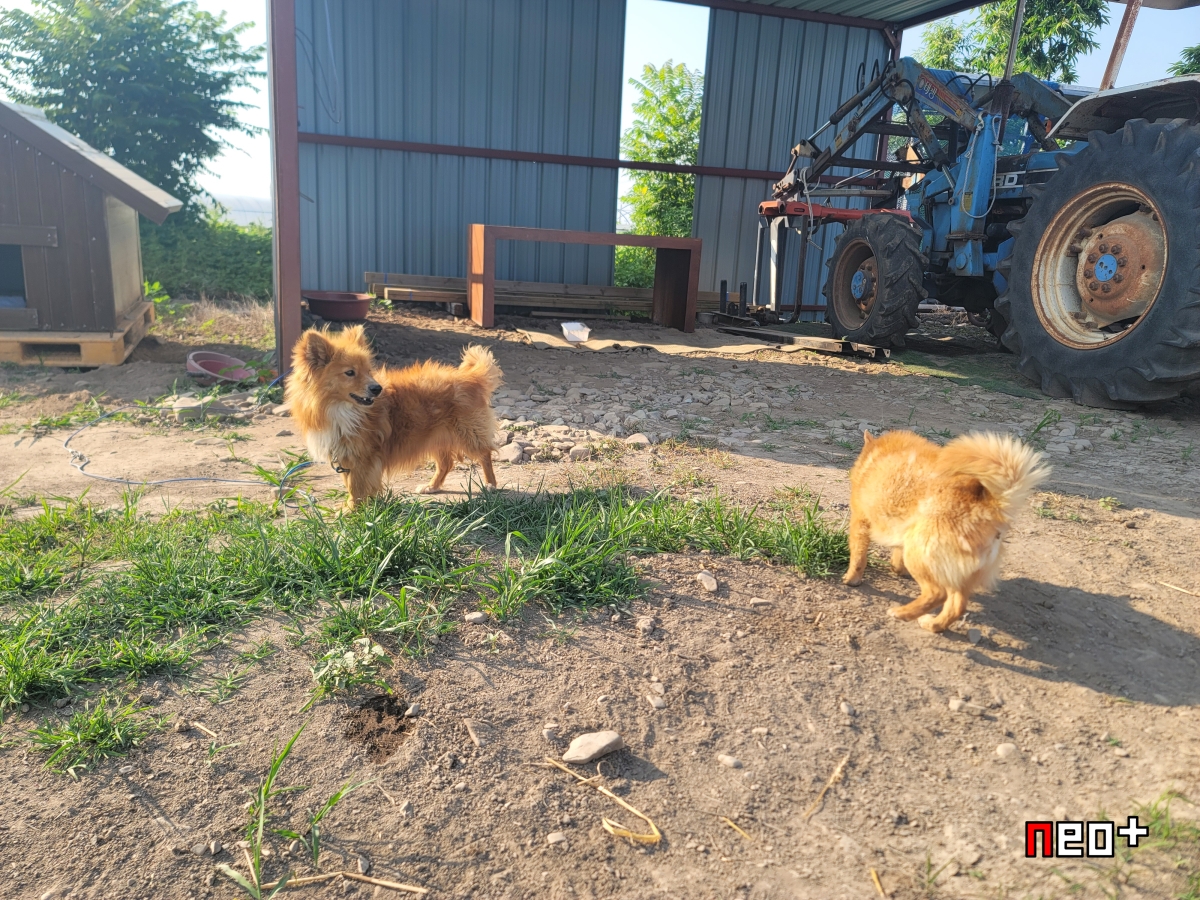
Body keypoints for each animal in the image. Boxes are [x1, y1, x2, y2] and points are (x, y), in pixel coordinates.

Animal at [285, 325, 503, 507]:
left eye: (368, 371)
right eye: (350, 373)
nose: (377, 388)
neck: (340, 409)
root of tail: (470, 377)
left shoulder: (362, 456)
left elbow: (356, 486)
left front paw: (352, 511)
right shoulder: (346, 455)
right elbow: (350, 484)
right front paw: (356, 508)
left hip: (467, 433)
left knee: (485, 454)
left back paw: (490, 485)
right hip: (434, 437)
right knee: (446, 463)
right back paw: (432, 486)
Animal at [842, 430, 1050, 633]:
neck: (876, 455)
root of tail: (990, 505)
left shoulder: (860, 522)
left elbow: (858, 558)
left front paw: (851, 579)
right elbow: (896, 556)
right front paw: (897, 570)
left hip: (919, 554)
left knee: (937, 594)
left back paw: (902, 613)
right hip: (956, 573)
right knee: (957, 606)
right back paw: (933, 625)